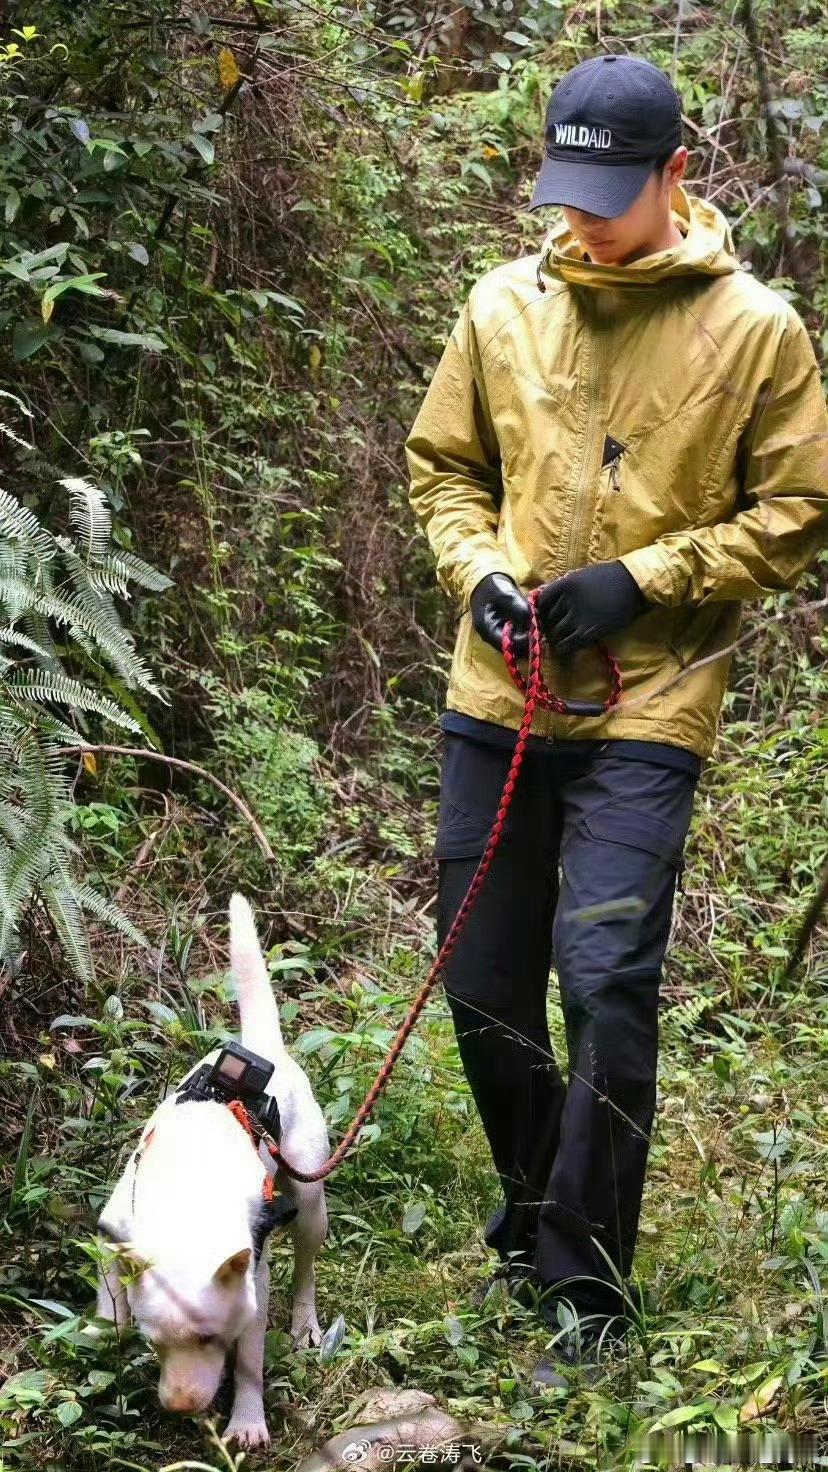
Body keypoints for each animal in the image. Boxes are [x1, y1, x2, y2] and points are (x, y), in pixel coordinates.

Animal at [95, 889, 328, 1442]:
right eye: (154, 1341)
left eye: (210, 1338)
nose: (180, 1409)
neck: (188, 1202)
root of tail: (264, 1047)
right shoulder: (113, 1226)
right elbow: (112, 1290)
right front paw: (108, 1321)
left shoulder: (253, 1284)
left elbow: (248, 1360)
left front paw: (247, 1420)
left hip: (310, 1198)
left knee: (306, 1264)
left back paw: (306, 1323)